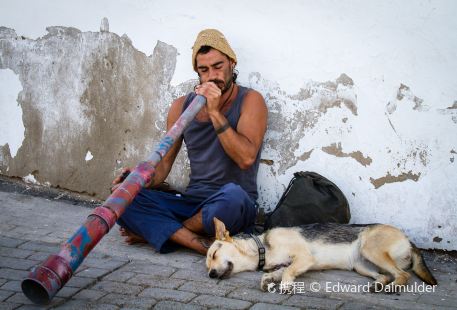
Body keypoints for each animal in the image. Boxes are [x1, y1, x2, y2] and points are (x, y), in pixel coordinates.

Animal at [206, 217, 434, 292]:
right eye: (207, 266)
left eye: (215, 253)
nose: (210, 275)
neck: (263, 248)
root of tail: (408, 239)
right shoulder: (285, 264)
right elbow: (276, 272)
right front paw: (268, 279)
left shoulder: (305, 258)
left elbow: (288, 272)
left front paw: (286, 285)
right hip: (361, 265)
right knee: (386, 275)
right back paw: (379, 284)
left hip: (371, 249)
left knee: (403, 275)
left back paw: (393, 287)